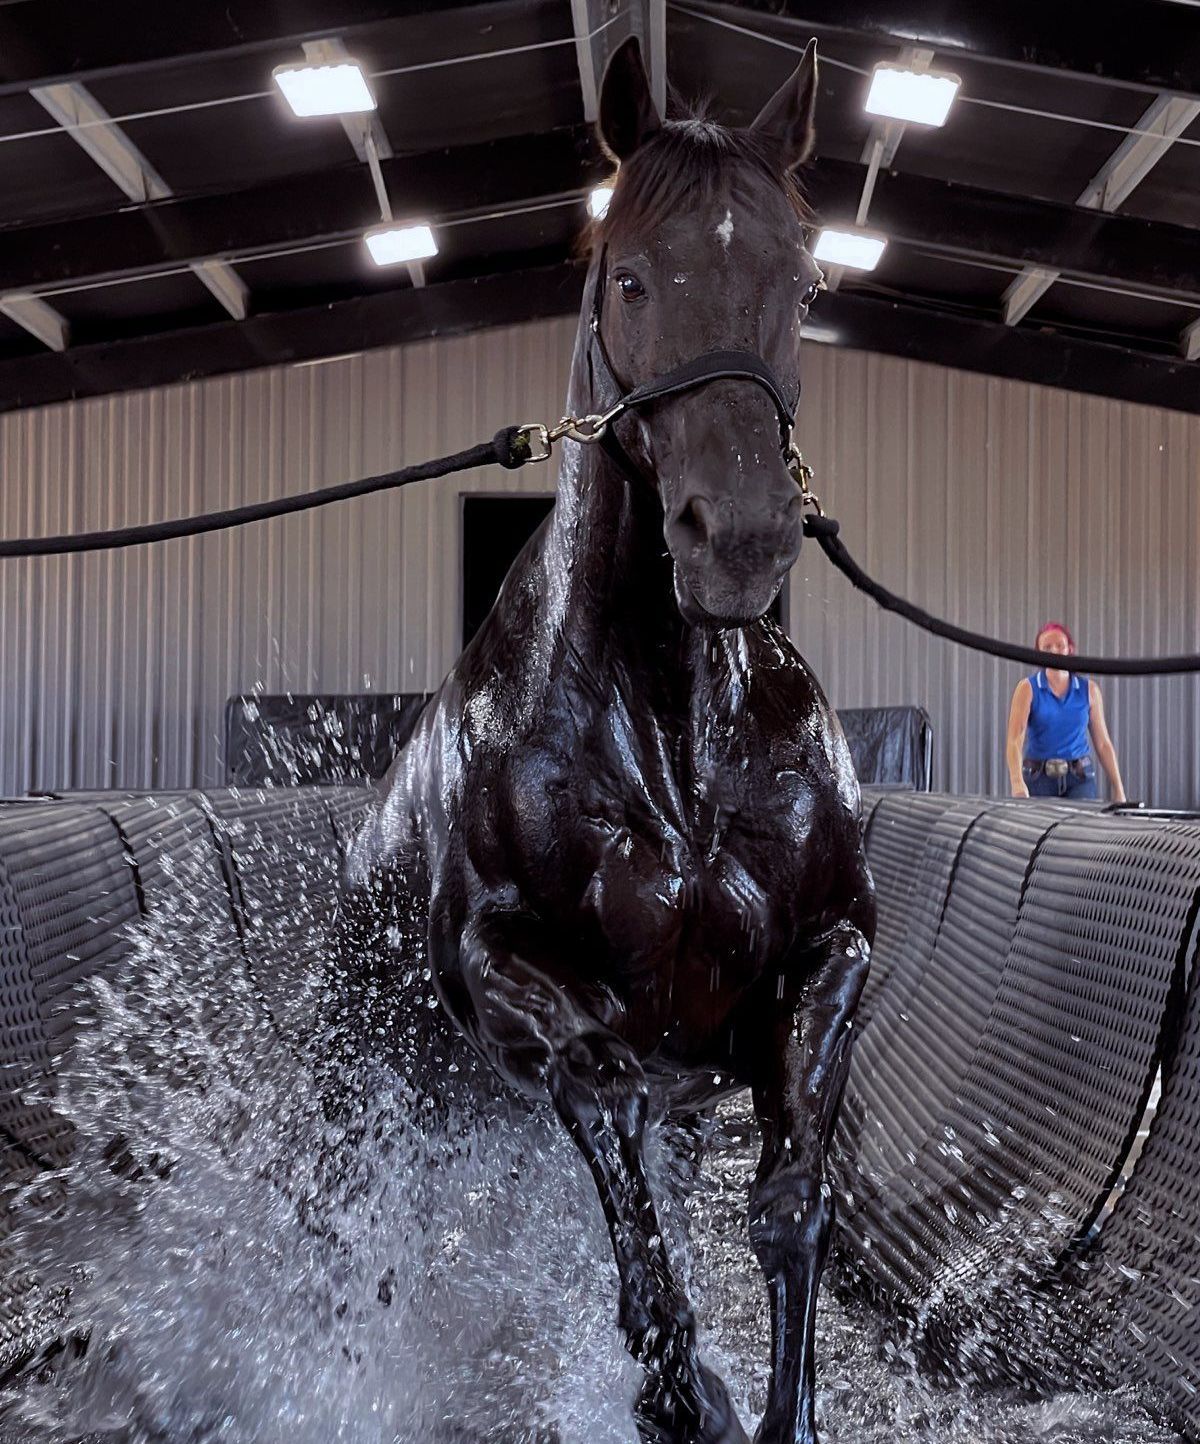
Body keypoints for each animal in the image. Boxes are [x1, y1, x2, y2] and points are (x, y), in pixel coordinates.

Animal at [345, 36, 875, 1444]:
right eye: (631, 274)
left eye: (803, 284)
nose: (738, 540)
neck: (675, 738)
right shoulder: (510, 981)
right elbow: (607, 1098)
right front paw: (679, 1392)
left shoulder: (830, 957)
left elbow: (788, 1211)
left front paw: (767, 1409)